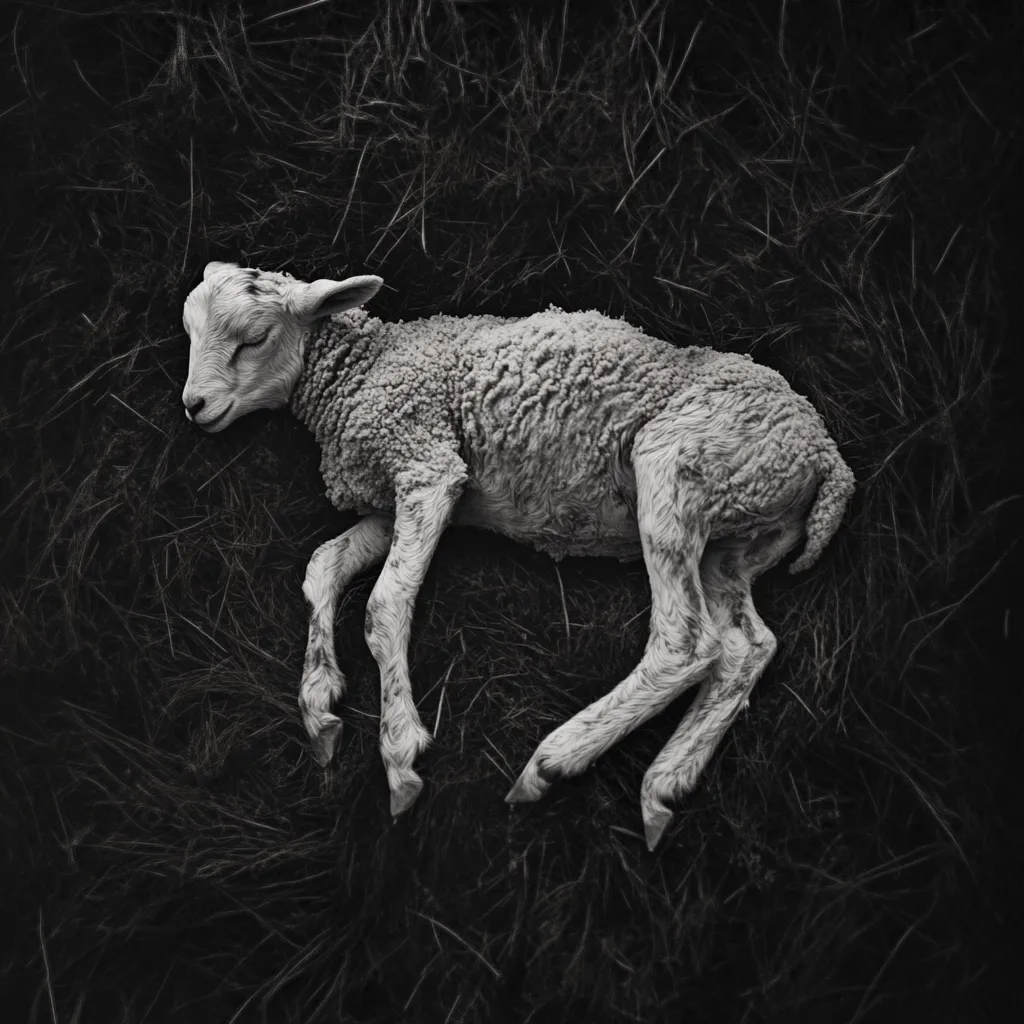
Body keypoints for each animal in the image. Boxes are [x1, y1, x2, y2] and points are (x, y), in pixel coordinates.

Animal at [181, 261, 856, 849]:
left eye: (256, 338)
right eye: (190, 332)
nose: (195, 407)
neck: (365, 370)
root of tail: (828, 461)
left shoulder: (427, 464)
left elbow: (383, 606)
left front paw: (400, 755)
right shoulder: (390, 501)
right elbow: (321, 567)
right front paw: (320, 708)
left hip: (678, 466)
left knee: (686, 641)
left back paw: (552, 763)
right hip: (736, 537)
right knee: (747, 646)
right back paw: (664, 787)